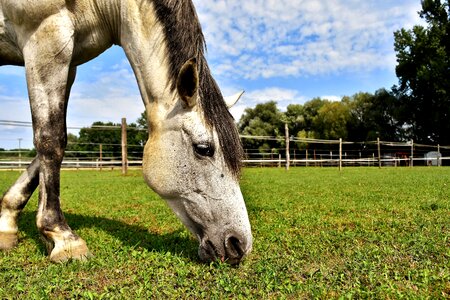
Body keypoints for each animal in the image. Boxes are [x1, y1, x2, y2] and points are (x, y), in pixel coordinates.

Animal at [0, 0, 253, 264]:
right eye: (203, 149)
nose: (239, 244)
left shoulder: (68, 63)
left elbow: (49, 146)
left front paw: (7, 224)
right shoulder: (45, 36)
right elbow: (51, 139)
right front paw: (63, 238)